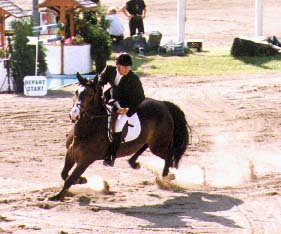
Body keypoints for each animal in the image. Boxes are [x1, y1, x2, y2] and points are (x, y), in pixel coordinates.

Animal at [49, 72, 189, 200]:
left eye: (89, 95)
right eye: (76, 92)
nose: (74, 115)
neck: (87, 129)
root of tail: (163, 104)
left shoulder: (86, 159)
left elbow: (70, 178)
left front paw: (56, 196)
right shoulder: (71, 153)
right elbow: (64, 174)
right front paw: (82, 180)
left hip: (158, 145)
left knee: (168, 155)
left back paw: (166, 176)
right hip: (151, 141)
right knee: (145, 146)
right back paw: (134, 163)